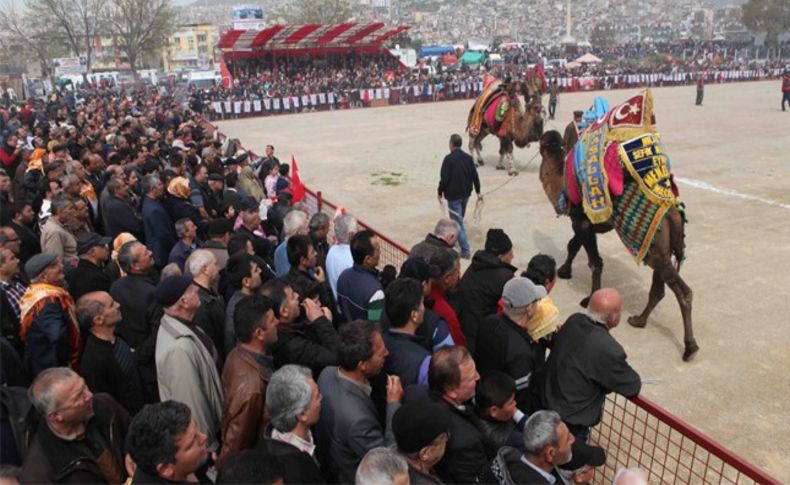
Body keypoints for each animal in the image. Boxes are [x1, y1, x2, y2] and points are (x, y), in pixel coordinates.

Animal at [540, 89, 700, 362]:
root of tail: (673, 214)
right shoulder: (584, 223)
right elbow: (573, 245)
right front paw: (564, 270)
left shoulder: (582, 221)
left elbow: (594, 261)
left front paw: (588, 299)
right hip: (660, 247)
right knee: (659, 287)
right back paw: (639, 320)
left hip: (656, 246)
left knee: (683, 291)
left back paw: (690, 348)